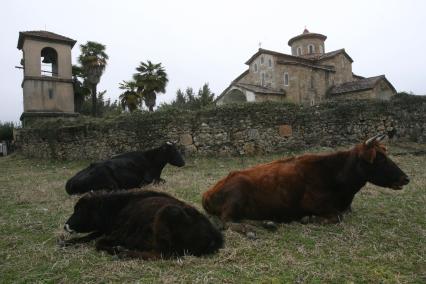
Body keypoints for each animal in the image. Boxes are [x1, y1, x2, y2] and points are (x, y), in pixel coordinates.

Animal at [62, 189, 225, 260]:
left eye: (80, 210)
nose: (65, 225)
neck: (119, 206)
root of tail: (214, 235)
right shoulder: (107, 230)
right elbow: (91, 236)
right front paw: (66, 242)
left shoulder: (120, 234)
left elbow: (98, 242)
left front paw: (117, 249)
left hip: (168, 213)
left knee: (161, 254)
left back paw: (125, 253)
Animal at [202, 134, 410, 230]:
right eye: (380, 159)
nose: (405, 178)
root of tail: (207, 192)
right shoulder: (312, 203)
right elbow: (337, 216)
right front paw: (309, 218)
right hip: (237, 193)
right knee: (227, 221)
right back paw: (251, 228)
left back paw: (267, 222)